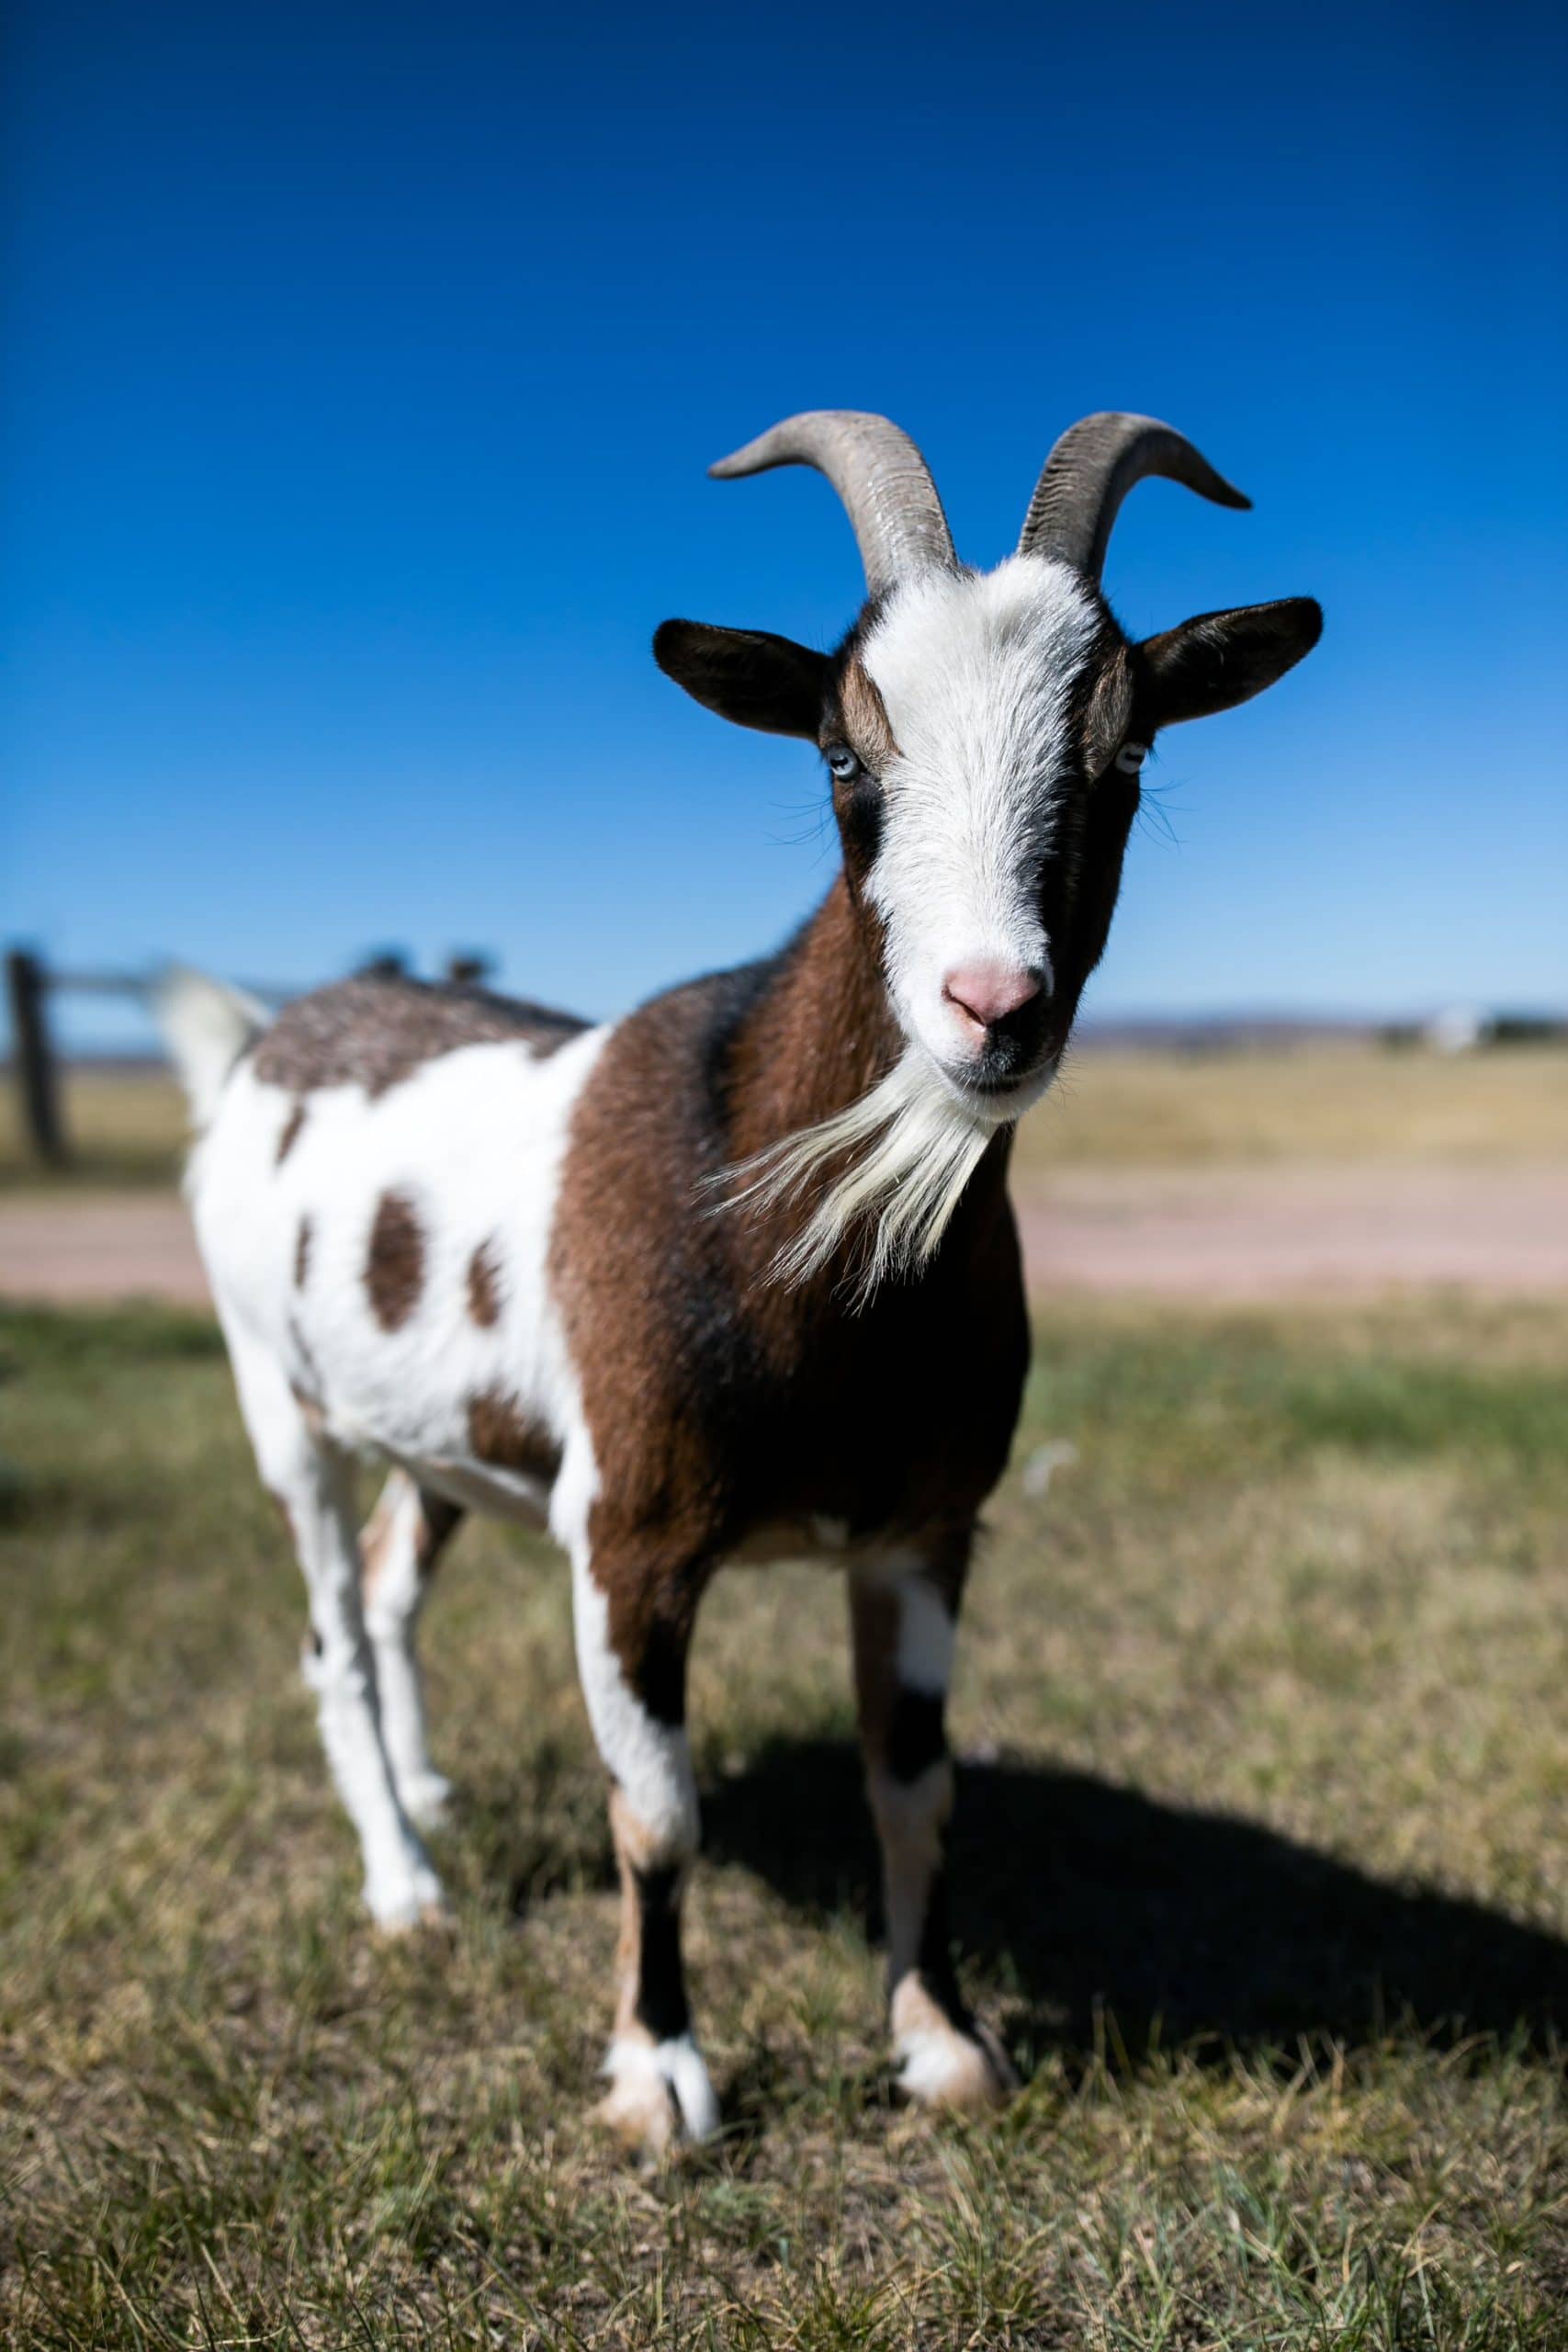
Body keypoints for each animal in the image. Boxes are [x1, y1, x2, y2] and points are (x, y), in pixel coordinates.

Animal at [160, 409, 1316, 2154]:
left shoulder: (924, 1531)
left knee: (388, 1579)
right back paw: (404, 1883)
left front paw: (939, 2037)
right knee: (330, 1632)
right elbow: (655, 1815)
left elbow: (912, 1789)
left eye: (1124, 755)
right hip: (271, 1389)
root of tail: (266, 1037)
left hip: (446, 1440)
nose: (991, 1008)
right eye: (840, 754)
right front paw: (657, 2078)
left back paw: (428, 1799)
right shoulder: (625, 1538)